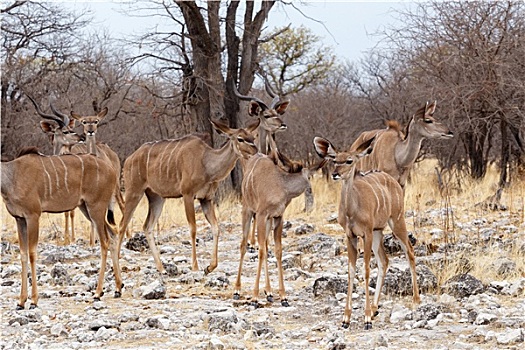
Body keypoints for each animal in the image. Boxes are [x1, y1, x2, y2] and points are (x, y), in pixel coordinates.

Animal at [1, 148, 123, 308]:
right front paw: (21, 301)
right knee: (113, 234)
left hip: (96, 207)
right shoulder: (19, 219)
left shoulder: (33, 216)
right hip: (86, 208)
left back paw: (98, 293)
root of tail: (112, 171)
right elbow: (23, 254)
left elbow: (32, 253)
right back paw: (118, 289)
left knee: (105, 242)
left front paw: (33, 300)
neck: (12, 177)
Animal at [118, 119, 258, 274]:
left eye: (253, 137)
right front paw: (195, 266)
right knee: (122, 225)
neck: (207, 164)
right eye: (240, 138)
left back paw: (162, 268)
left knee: (147, 226)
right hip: (134, 191)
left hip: (157, 197)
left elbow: (216, 228)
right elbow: (193, 229)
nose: (255, 151)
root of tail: (128, 160)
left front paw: (209, 267)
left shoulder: (206, 199)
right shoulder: (188, 194)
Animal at [314, 137, 420, 330]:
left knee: (409, 250)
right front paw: (346, 319)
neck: (352, 210)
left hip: (396, 221)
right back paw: (376, 308)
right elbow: (351, 271)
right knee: (384, 261)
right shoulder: (350, 236)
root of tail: (394, 182)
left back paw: (416, 299)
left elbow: (365, 270)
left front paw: (366, 318)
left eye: (349, 160)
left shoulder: (366, 233)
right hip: (379, 231)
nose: (335, 174)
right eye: (334, 160)